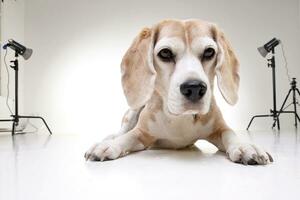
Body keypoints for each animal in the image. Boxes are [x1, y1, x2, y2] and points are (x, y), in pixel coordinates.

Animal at [84, 19, 272, 166]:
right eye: (165, 53)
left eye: (209, 52)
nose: (194, 88)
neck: (180, 118)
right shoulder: (142, 134)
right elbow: (127, 137)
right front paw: (109, 146)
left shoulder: (219, 128)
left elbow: (231, 134)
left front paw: (246, 146)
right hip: (133, 110)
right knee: (122, 130)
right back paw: (109, 139)